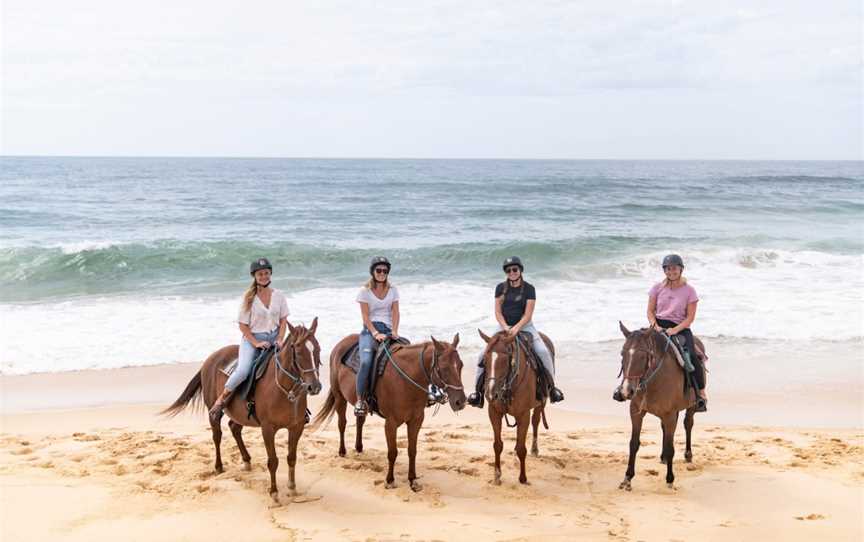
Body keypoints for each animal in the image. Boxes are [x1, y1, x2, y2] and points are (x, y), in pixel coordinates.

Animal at [163, 320, 324, 504]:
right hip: (214, 410)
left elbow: (291, 457)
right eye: (297, 350)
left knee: (234, 428)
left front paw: (292, 487)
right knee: (217, 435)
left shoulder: (296, 427)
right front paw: (274, 492)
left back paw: (246, 460)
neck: (286, 391)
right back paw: (219, 466)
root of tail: (210, 358)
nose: (314, 386)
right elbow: (273, 461)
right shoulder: (267, 429)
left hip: (239, 414)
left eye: (318, 349)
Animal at [312, 336, 466, 492]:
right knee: (342, 424)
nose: (461, 401)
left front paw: (412, 480)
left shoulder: (416, 421)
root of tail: (341, 343)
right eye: (444, 368)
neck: (406, 380)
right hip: (339, 397)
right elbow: (392, 452)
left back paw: (359, 447)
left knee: (360, 421)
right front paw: (390, 480)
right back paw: (342, 451)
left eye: (460, 365)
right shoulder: (391, 423)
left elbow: (412, 450)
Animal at [480, 330, 552, 486]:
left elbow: (521, 448)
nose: (491, 394)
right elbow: (498, 445)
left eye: (505, 360)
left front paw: (523, 478)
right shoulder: (494, 412)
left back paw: (534, 450)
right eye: (485, 360)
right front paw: (497, 476)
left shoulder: (523, 414)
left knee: (536, 422)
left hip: (540, 403)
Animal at [616, 324, 704, 492]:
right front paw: (627, 478)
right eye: (622, 353)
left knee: (688, 424)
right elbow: (633, 443)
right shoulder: (636, 412)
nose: (625, 391)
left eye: (643, 356)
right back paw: (663, 457)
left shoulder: (670, 414)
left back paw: (688, 455)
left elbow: (671, 447)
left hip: (690, 406)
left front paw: (670, 479)